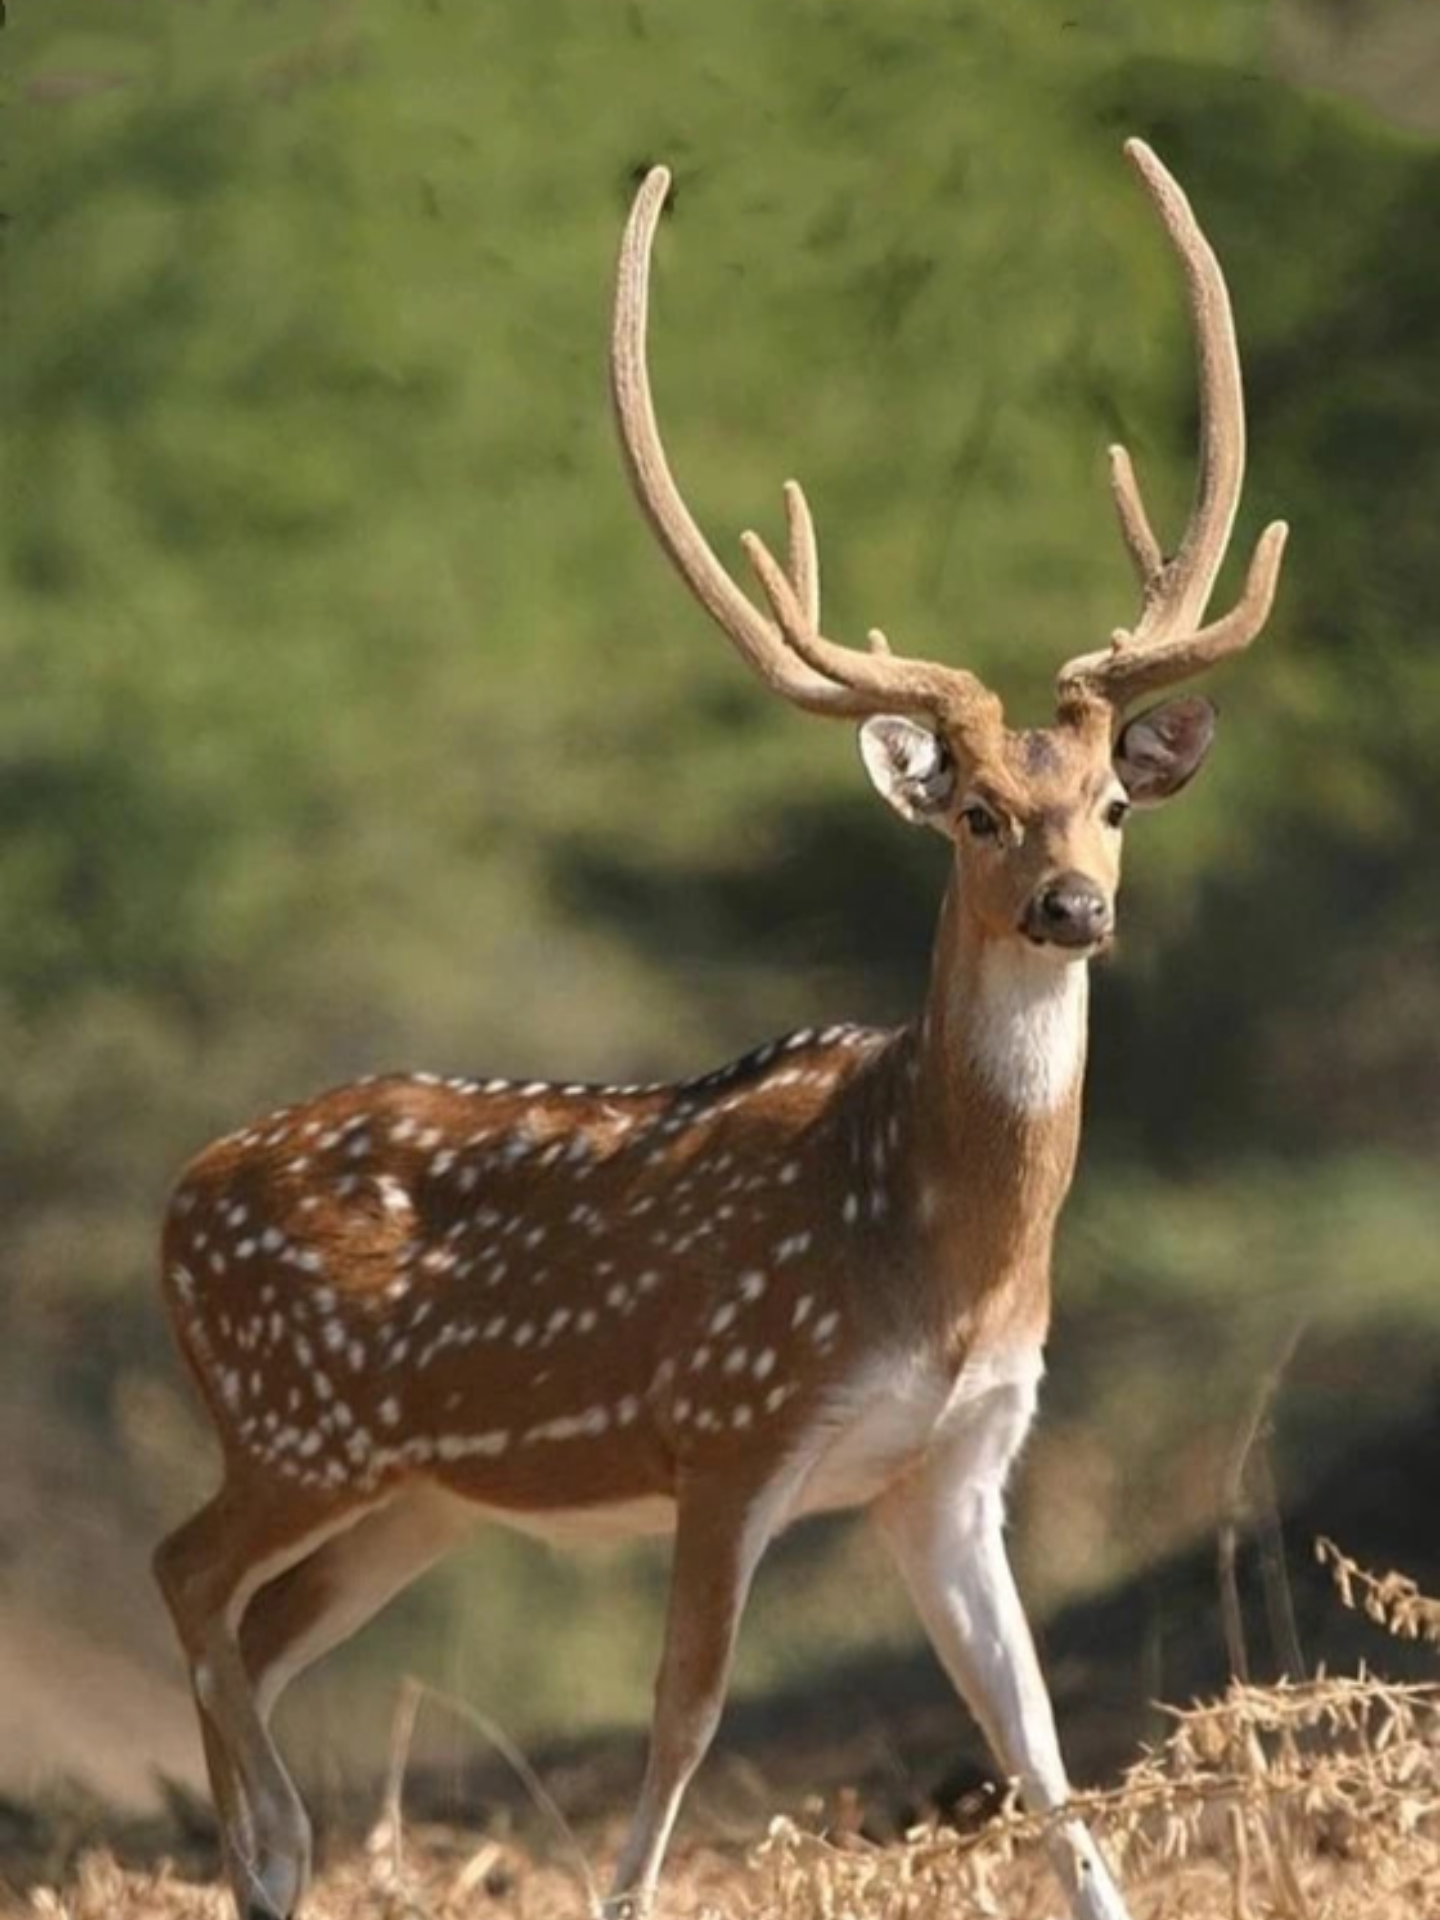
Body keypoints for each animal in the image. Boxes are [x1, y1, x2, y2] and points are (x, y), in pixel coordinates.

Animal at [153, 138, 1287, 1920]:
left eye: (1110, 803)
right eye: (974, 811)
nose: (1072, 908)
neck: (938, 1253)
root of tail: (173, 1204)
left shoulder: (956, 1466)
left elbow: (1035, 1738)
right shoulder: (731, 1424)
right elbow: (683, 1715)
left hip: (420, 1496)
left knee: (255, 1629)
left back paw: (271, 1859)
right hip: (293, 1423)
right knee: (184, 1575)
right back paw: (272, 1845)